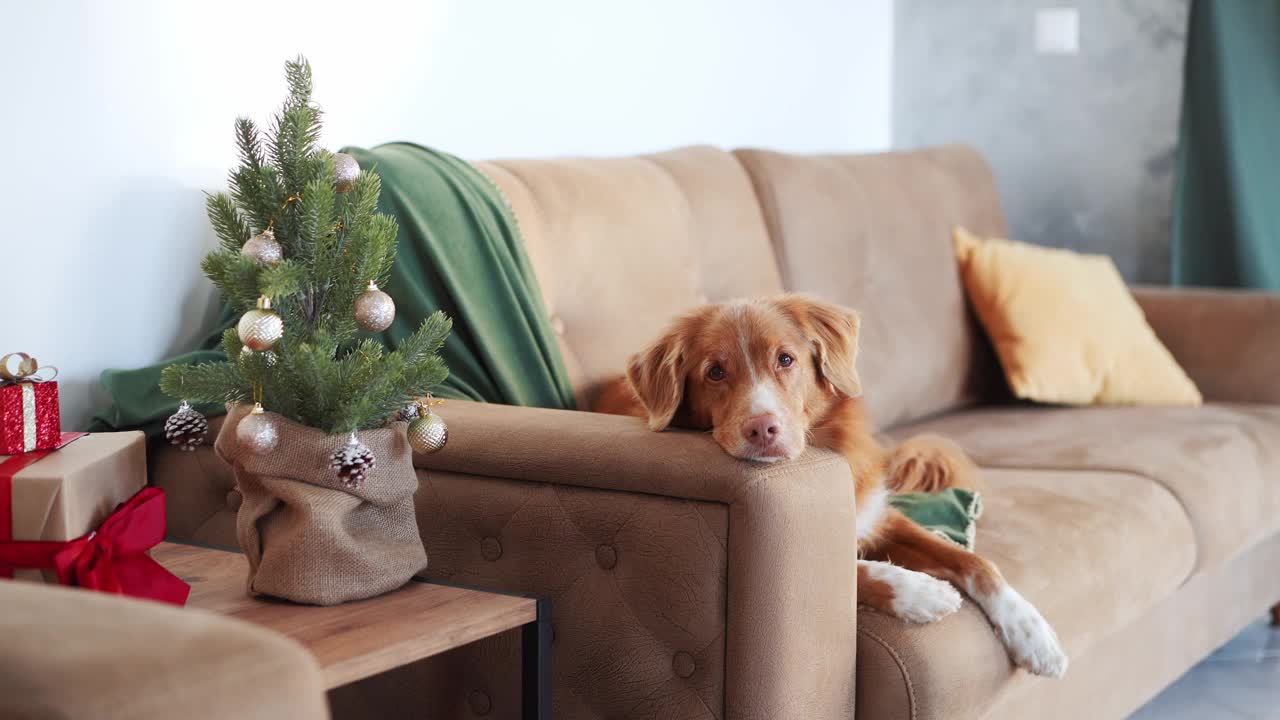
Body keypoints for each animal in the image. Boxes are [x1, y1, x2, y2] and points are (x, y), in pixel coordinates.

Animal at [599, 294, 1070, 676]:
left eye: (785, 360)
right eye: (714, 372)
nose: (762, 429)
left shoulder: (880, 516)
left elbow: (975, 561)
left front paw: (1032, 632)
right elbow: (851, 569)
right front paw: (919, 590)